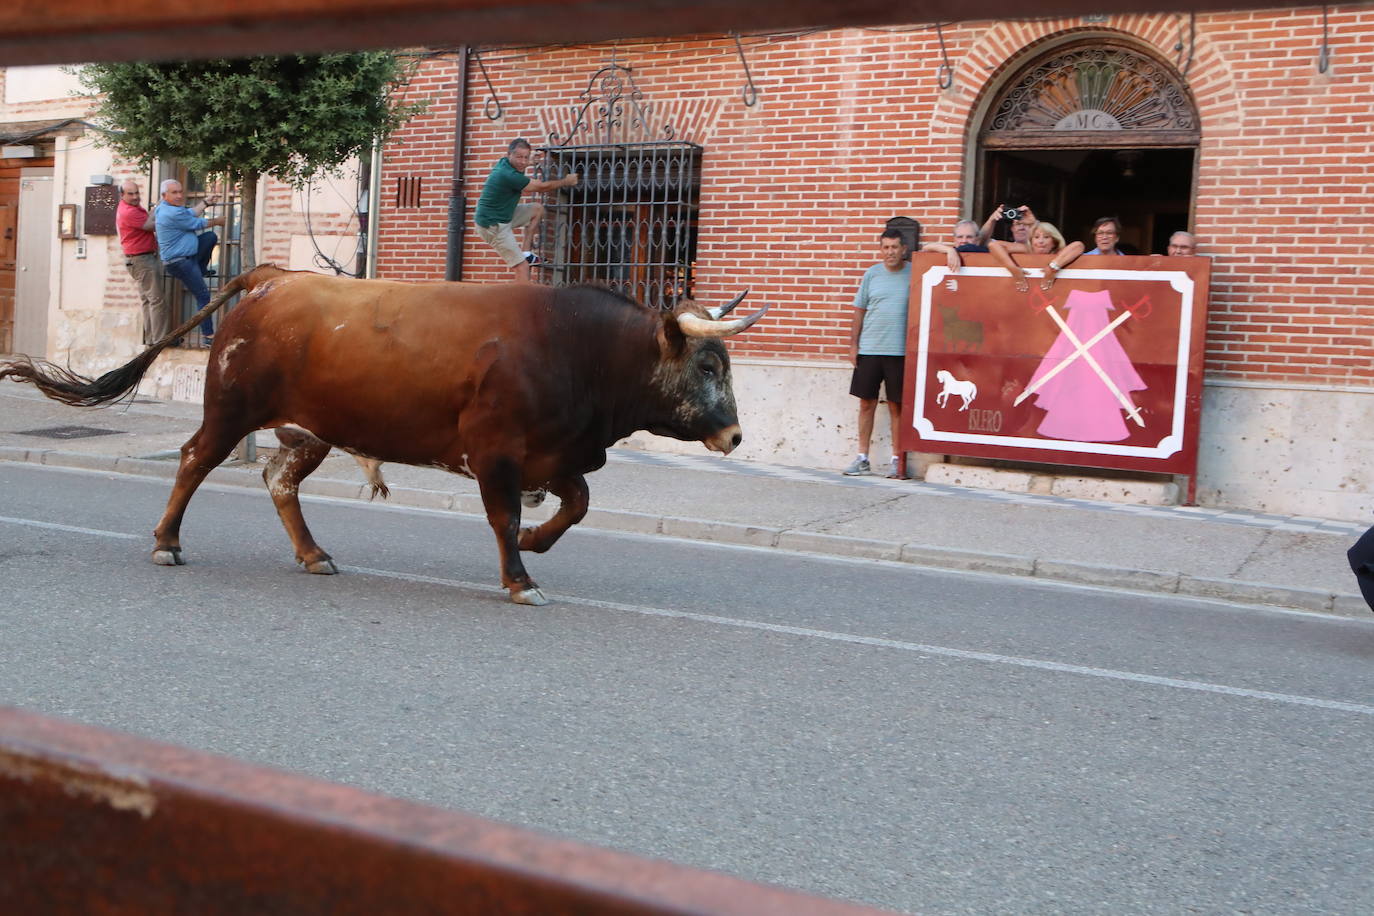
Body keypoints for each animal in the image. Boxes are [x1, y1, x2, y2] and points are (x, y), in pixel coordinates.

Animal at [0, 266, 769, 609]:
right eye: (708, 364)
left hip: (309, 431)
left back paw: (314, 554)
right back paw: (166, 542)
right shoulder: (496, 451)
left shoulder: (554, 453)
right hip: (228, 411)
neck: (580, 349)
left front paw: (534, 544)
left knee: (278, 480)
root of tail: (276, 278)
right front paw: (519, 576)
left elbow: (576, 505)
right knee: (193, 461)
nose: (734, 436)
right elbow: (503, 516)